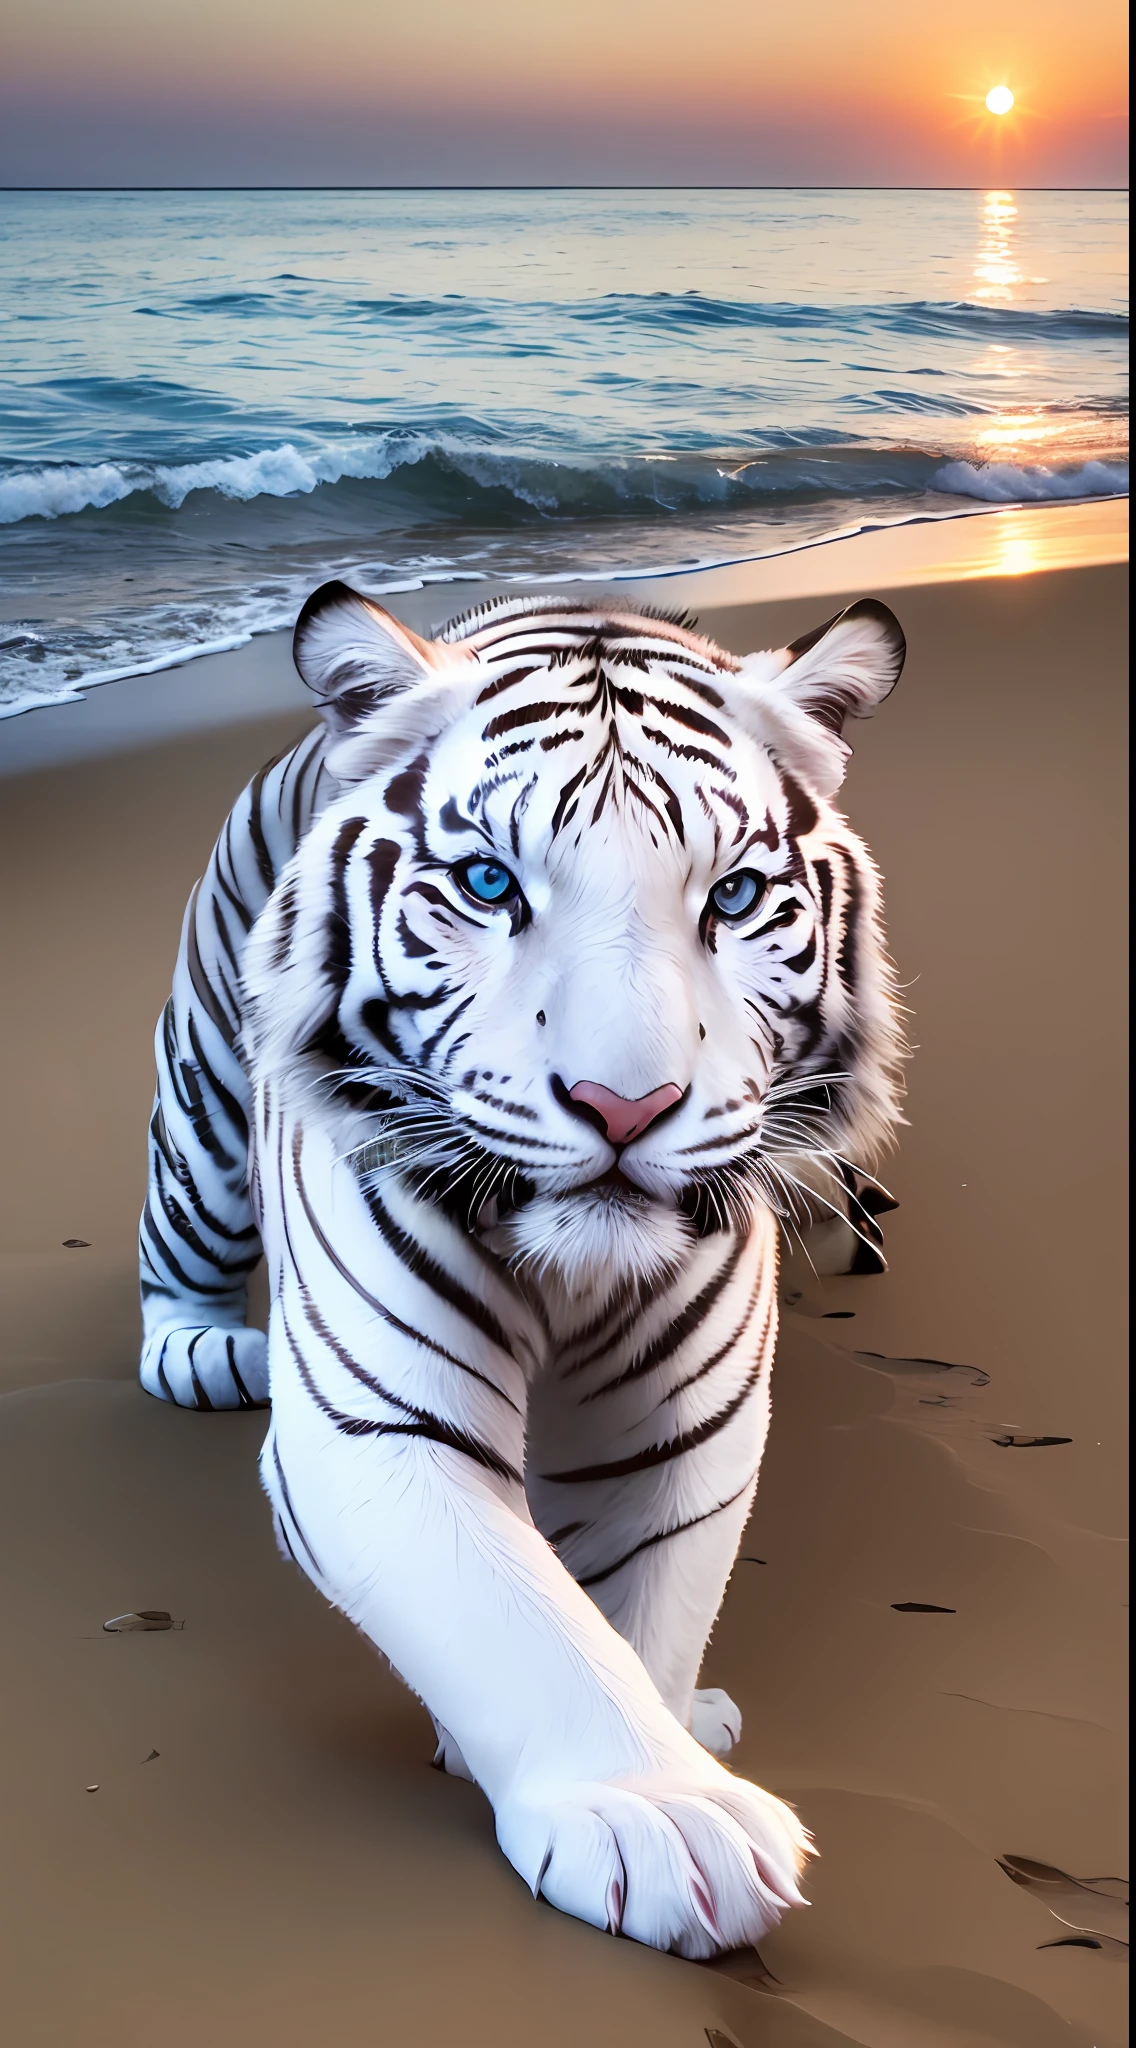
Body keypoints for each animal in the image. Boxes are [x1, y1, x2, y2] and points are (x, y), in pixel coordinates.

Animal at [140, 585, 908, 1957]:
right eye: (490, 884)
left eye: (733, 895)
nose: (624, 1103)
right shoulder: (376, 1425)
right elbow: (520, 1624)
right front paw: (663, 1819)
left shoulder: (683, 1421)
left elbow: (640, 1603)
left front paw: (671, 1735)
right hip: (207, 1091)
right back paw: (195, 1344)